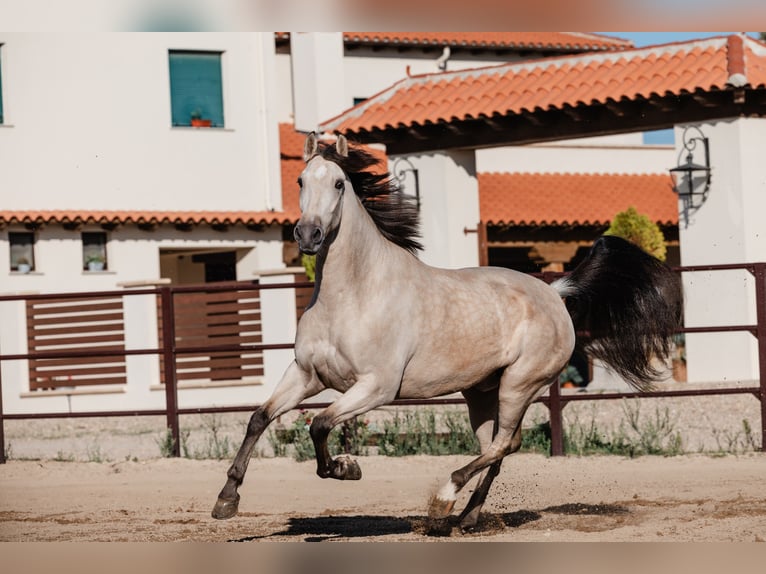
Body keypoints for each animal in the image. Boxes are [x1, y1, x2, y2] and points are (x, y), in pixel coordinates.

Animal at [212, 133, 684, 532]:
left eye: (340, 184)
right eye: (300, 180)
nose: (307, 234)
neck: (354, 295)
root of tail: (554, 291)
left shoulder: (376, 387)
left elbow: (321, 425)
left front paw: (347, 468)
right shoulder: (306, 374)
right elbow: (259, 418)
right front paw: (226, 500)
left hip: (521, 383)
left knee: (502, 445)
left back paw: (443, 501)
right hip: (480, 392)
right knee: (499, 448)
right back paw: (466, 518)